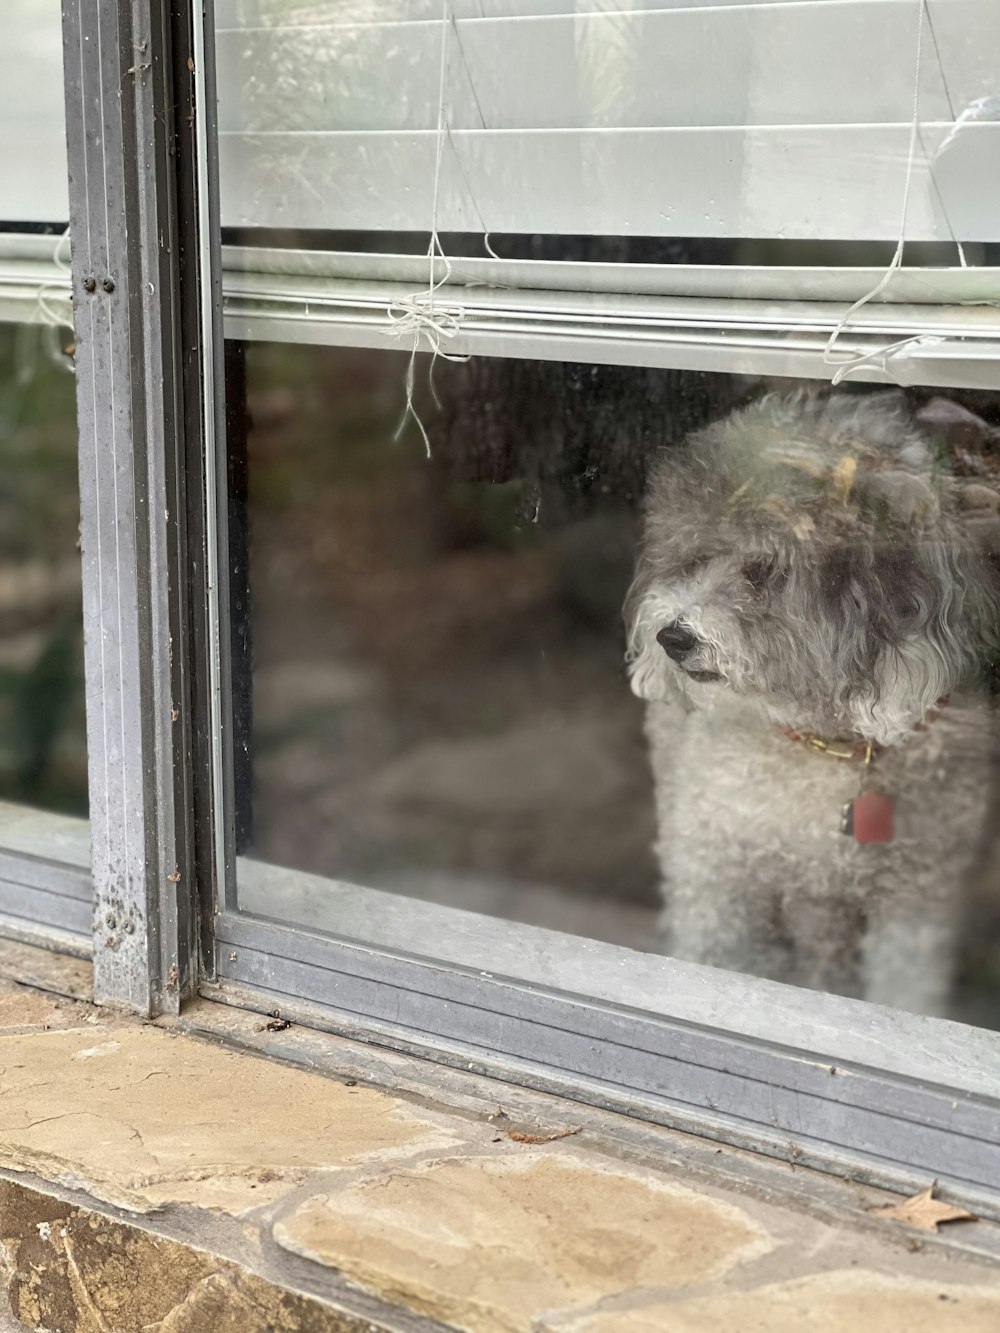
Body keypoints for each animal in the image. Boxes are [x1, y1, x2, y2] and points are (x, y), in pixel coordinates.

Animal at [626, 389, 1000, 1013]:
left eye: (763, 570)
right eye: (694, 557)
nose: (671, 638)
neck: (825, 744)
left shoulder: (917, 895)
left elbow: (904, 987)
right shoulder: (714, 870)